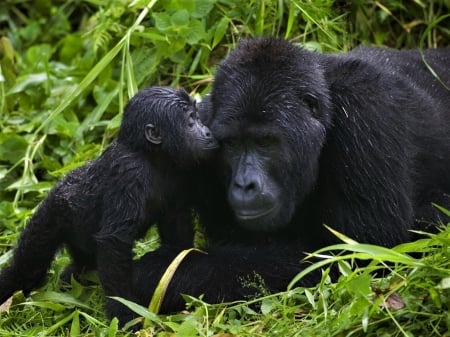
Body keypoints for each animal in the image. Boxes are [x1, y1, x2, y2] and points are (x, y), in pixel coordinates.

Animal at [0, 85, 218, 324]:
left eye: (197, 116)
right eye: (190, 121)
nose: (207, 132)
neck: (150, 155)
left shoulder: (180, 173)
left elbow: (177, 231)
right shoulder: (129, 173)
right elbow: (115, 241)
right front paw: (124, 311)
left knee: (81, 264)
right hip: (52, 213)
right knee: (27, 267)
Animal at [132, 38, 450, 314]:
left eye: (265, 142)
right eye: (231, 144)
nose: (245, 184)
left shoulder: (366, 110)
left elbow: (363, 255)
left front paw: (162, 272)